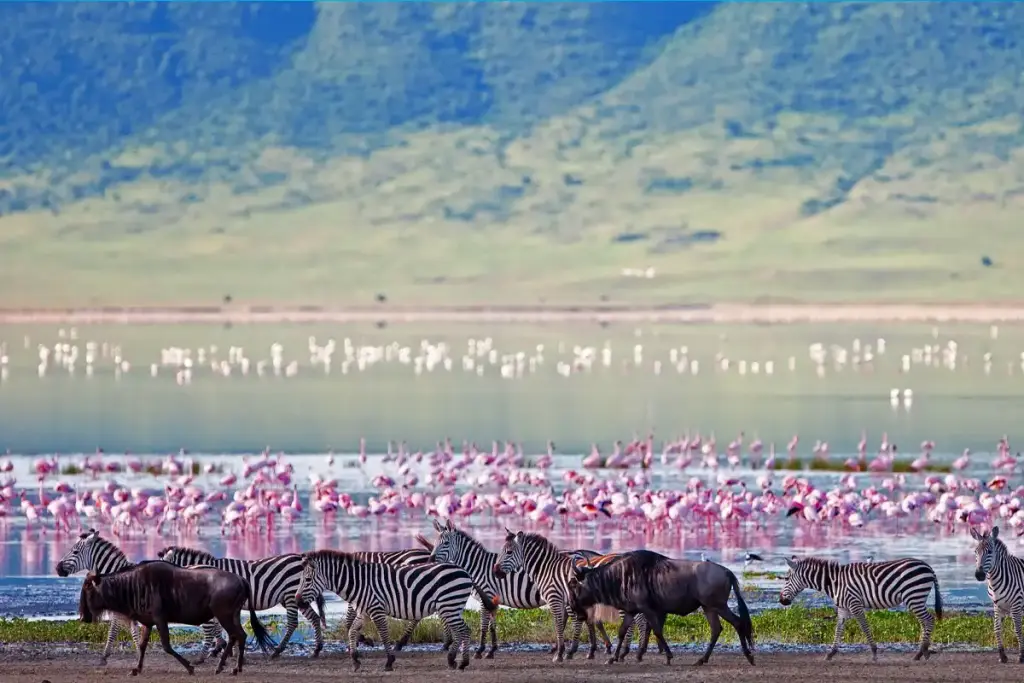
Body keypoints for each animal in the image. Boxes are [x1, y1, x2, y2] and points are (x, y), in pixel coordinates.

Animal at [158, 546, 326, 660]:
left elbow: (216, 626)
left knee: (292, 623)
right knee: (314, 618)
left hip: (291, 595)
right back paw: (317, 649)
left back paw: (277, 651)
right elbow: (221, 626)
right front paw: (225, 648)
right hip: (295, 597)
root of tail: (300, 557)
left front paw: (221, 648)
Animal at [295, 549, 475, 671]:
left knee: (464, 630)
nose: (297, 601)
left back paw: (462, 662)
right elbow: (352, 631)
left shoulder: (376, 609)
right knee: (462, 631)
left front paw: (389, 661)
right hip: (451, 607)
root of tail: (464, 571)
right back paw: (453, 660)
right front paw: (355, 660)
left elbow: (383, 633)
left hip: (449, 605)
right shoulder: (363, 611)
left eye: (307, 580)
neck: (359, 582)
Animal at [779, 555, 942, 661]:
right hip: (916, 598)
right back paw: (923, 652)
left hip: (913, 596)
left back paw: (920, 652)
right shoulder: (843, 608)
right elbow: (838, 629)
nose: (781, 601)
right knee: (924, 622)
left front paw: (874, 653)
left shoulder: (854, 604)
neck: (834, 582)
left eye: (786, 579)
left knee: (929, 619)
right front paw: (831, 653)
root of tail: (928, 567)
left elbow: (864, 626)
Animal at [972, 525, 1024, 663]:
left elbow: (1018, 629)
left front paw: (1021, 656)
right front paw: (1002, 655)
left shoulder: (1016, 605)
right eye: (975, 552)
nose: (979, 575)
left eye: (990, 552)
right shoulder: (997, 605)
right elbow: (997, 628)